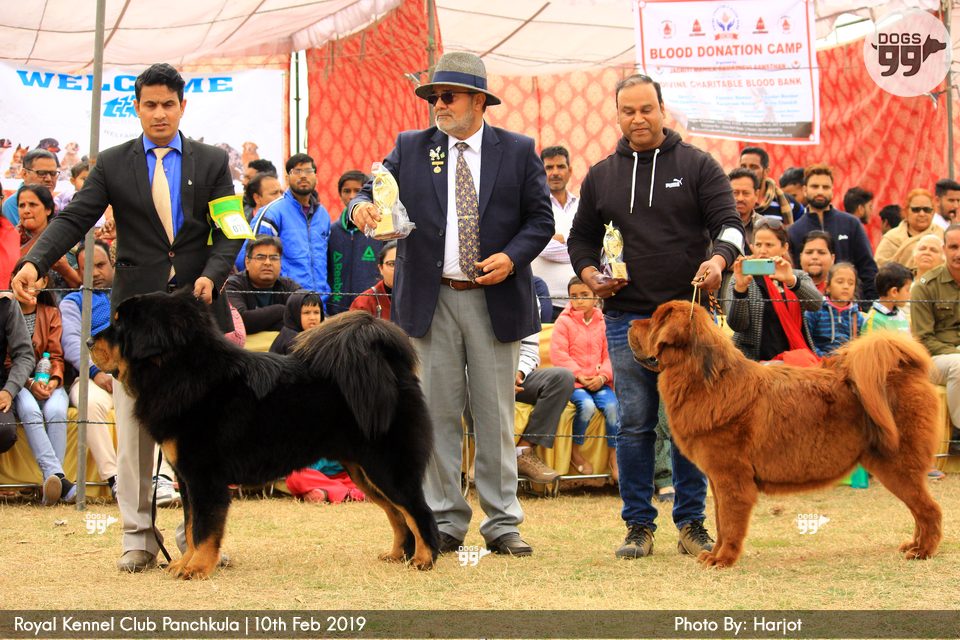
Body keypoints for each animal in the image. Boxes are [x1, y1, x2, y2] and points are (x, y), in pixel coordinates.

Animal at [89, 291, 439, 578]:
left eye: (119, 324)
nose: (90, 342)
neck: (182, 372)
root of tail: (393, 368)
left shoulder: (205, 478)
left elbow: (203, 529)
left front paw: (197, 567)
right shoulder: (187, 480)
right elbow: (190, 526)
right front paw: (184, 563)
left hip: (386, 468)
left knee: (418, 511)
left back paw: (424, 559)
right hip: (363, 472)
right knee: (398, 515)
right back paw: (397, 554)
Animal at [628, 300, 942, 568]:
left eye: (653, 321)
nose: (630, 322)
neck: (707, 380)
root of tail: (904, 371)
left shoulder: (732, 480)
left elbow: (729, 524)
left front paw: (723, 559)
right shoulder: (718, 481)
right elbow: (720, 523)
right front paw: (714, 554)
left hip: (896, 468)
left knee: (930, 511)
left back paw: (922, 551)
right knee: (921, 512)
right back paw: (913, 545)